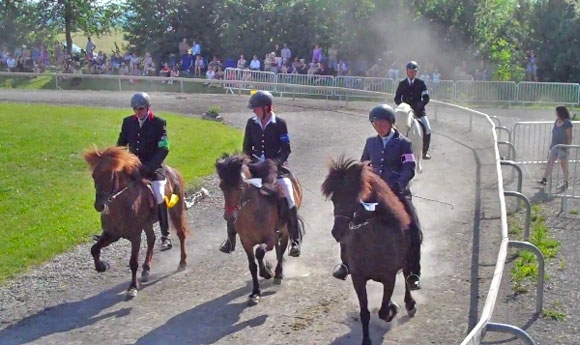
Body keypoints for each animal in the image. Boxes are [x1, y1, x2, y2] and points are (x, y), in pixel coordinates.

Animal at [83, 145, 190, 298]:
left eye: (110, 175)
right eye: (94, 176)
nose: (99, 206)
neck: (121, 204)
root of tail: (173, 171)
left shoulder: (135, 237)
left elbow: (133, 262)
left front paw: (132, 287)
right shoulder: (111, 235)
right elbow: (94, 249)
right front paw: (101, 266)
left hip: (176, 210)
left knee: (181, 234)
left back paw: (182, 262)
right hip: (147, 223)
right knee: (151, 238)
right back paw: (146, 269)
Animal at [214, 153, 304, 304]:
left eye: (240, 187)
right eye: (221, 186)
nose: (229, 217)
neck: (252, 213)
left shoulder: (271, 238)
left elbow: (260, 252)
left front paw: (267, 273)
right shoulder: (246, 242)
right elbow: (252, 265)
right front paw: (255, 292)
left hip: (285, 231)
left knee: (282, 249)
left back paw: (278, 273)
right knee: (278, 251)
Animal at [320, 156, 420, 344]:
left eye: (356, 198)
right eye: (334, 199)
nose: (337, 232)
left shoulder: (389, 278)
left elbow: (383, 310)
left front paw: (393, 308)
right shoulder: (358, 279)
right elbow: (364, 313)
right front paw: (366, 340)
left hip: (406, 264)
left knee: (407, 277)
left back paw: (410, 303)